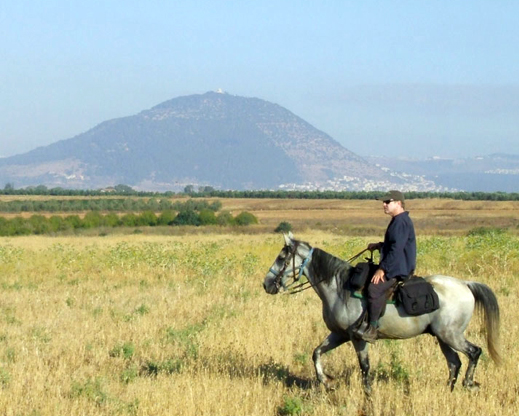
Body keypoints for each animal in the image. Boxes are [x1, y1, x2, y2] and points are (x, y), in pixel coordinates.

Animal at [266, 234, 502, 394]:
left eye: (282, 258)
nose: (266, 284)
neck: (339, 288)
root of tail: (466, 284)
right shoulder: (339, 334)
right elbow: (316, 353)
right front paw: (326, 381)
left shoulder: (357, 337)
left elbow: (364, 366)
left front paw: (368, 394)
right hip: (443, 337)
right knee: (454, 363)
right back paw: (447, 392)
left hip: (451, 335)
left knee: (474, 352)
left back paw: (469, 383)